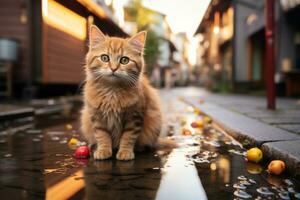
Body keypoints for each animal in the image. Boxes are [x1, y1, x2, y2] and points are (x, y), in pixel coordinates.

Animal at [80, 25, 162, 161]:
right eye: (104, 58)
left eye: (124, 60)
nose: (113, 68)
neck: (112, 92)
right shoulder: (97, 118)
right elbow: (102, 136)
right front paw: (103, 150)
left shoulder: (134, 118)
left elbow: (128, 137)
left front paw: (125, 152)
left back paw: (139, 148)